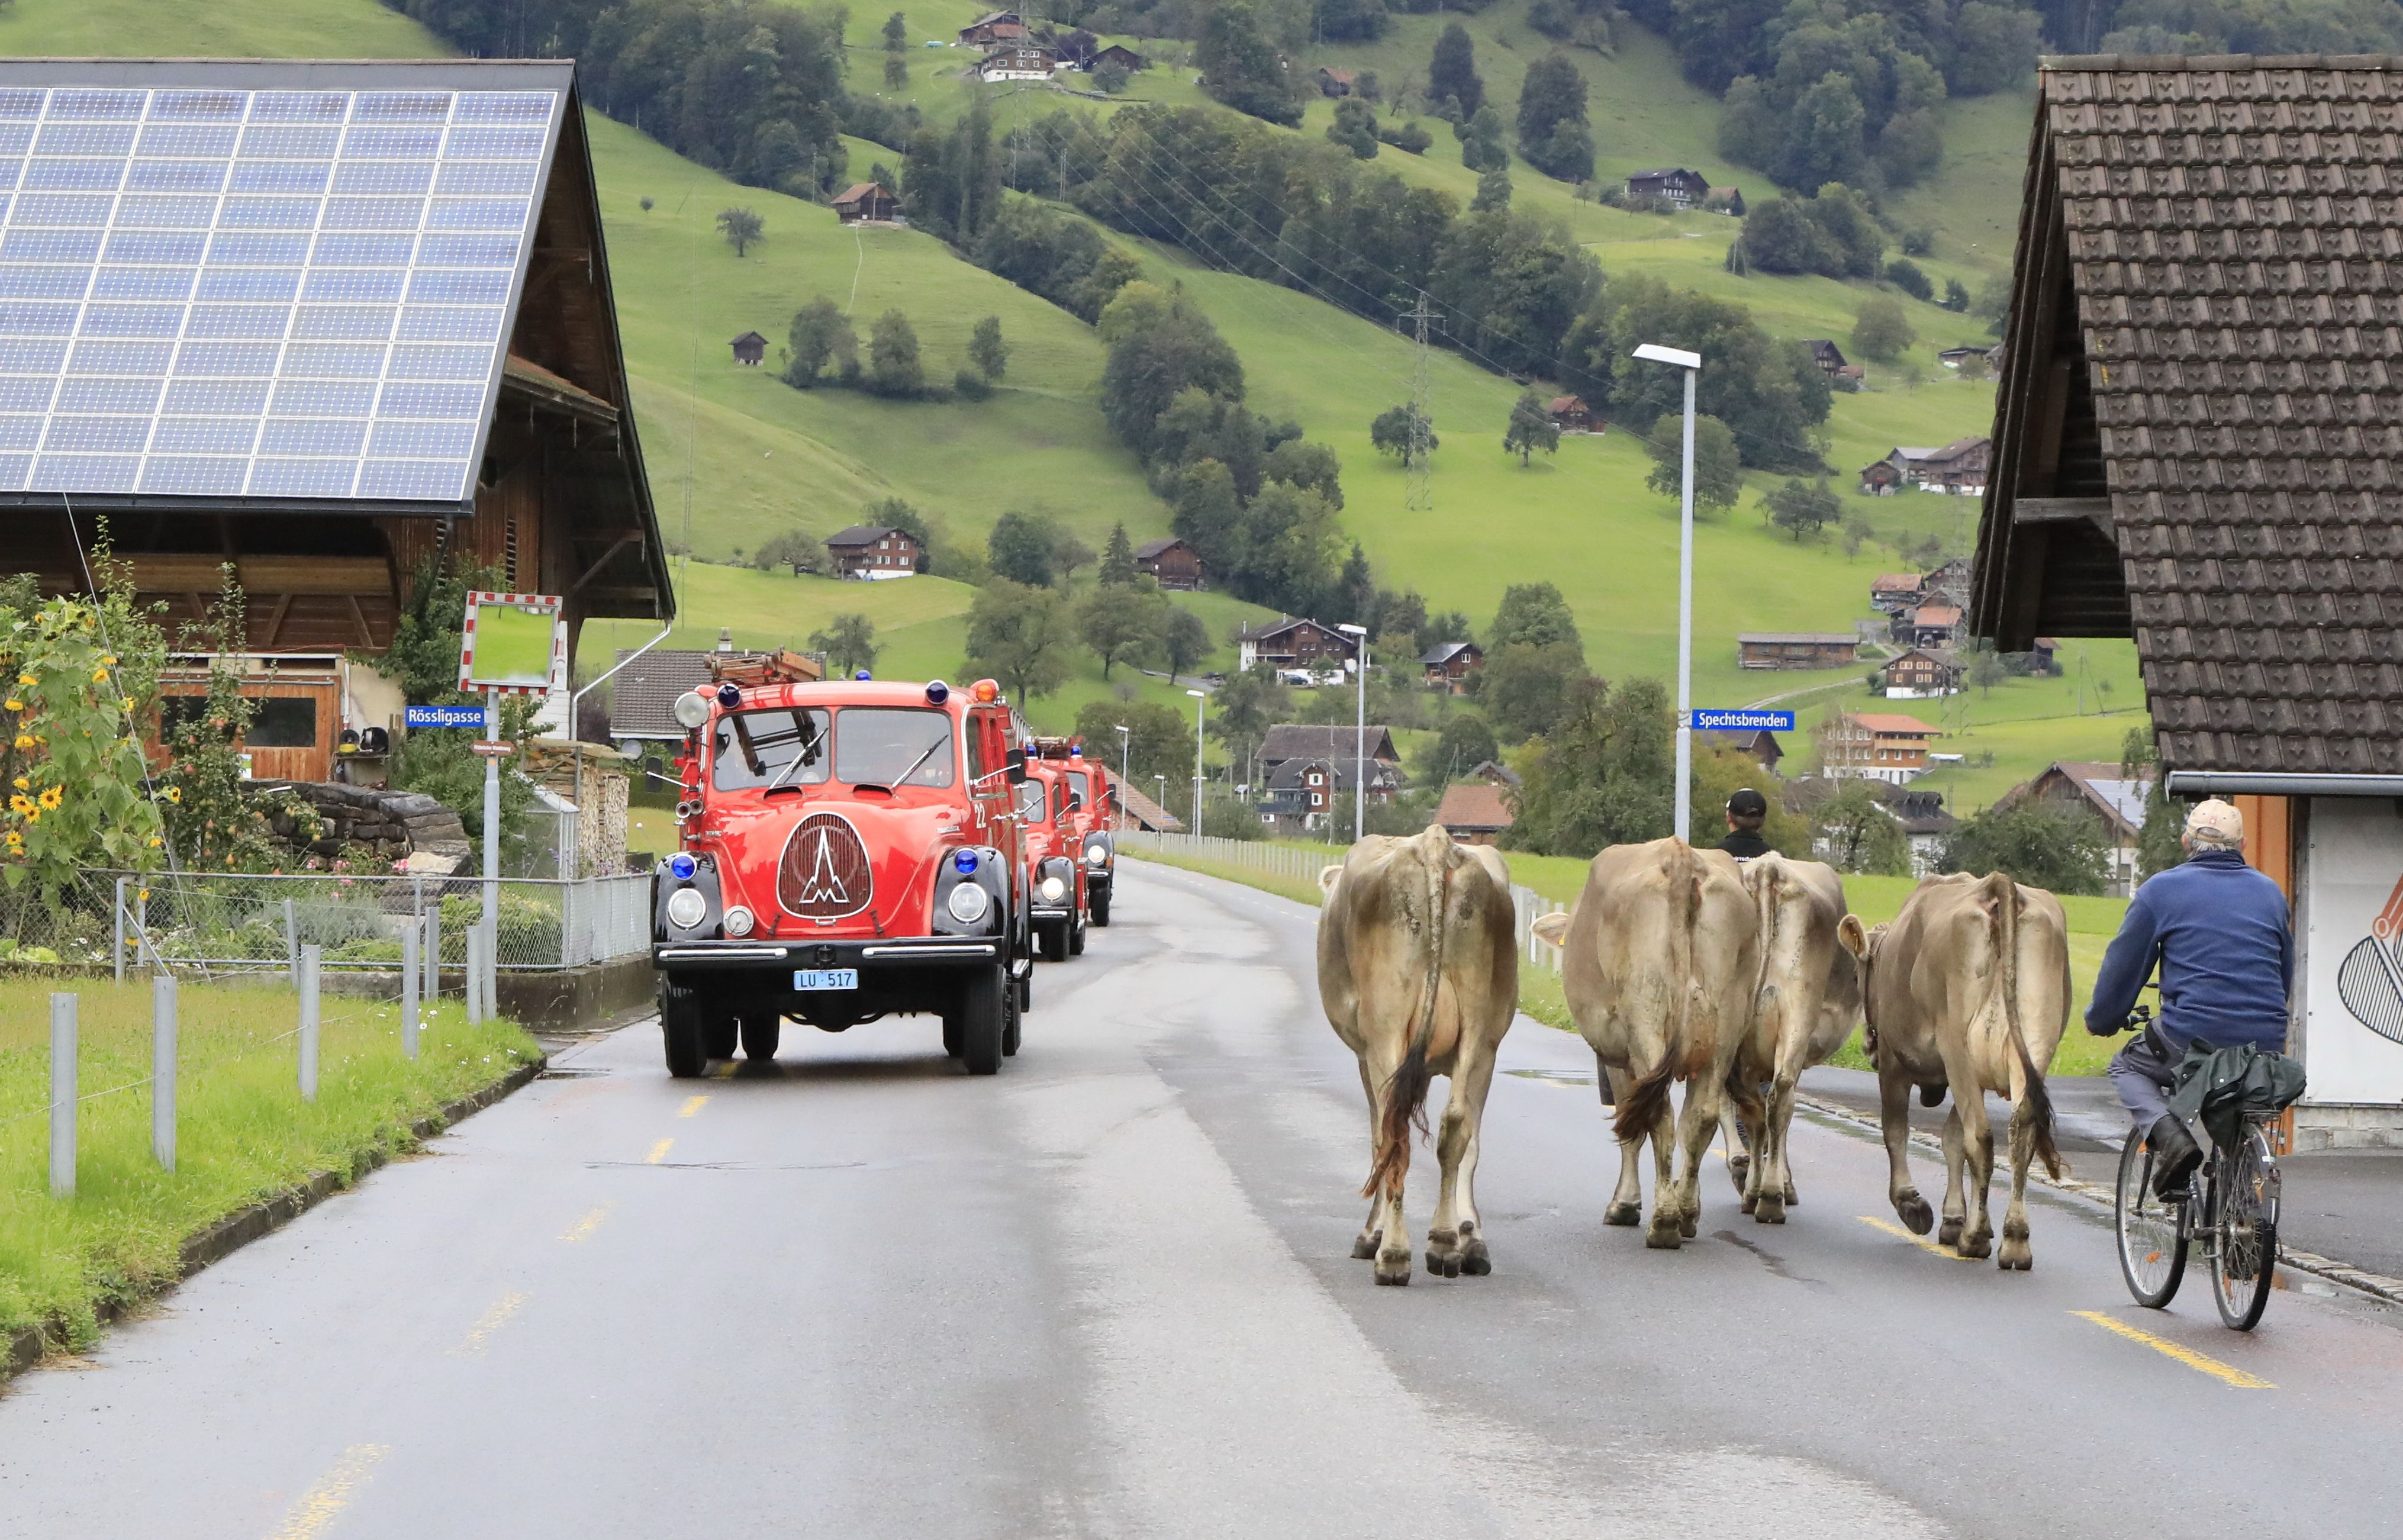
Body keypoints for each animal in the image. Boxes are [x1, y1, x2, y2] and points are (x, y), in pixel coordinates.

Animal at [1326, 821, 1509, 1278]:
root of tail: (1435, 842)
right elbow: (1469, 1143)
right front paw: (1469, 1239)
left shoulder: (1366, 1054)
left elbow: (1379, 1138)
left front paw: (1371, 1236)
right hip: (1481, 1034)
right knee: (1457, 1126)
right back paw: (1445, 1241)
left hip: (1386, 1031)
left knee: (1394, 1132)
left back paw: (1393, 1254)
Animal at [1528, 840, 1758, 1249]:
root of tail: (1680, 855)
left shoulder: (1617, 1057)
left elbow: (1628, 1124)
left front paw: (1625, 1204)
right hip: (1726, 1025)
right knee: (1699, 1117)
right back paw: (1685, 1214)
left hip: (1644, 1022)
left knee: (1659, 1113)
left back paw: (1664, 1222)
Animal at [1730, 855, 1874, 1225]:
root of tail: (1769, 868)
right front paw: (1785, 1183)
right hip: (1797, 1012)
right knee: (1779, 1098)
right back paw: (1770, 1197)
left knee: (1752, 1109)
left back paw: (1752, 1191)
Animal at [1845, 869, 2076, 1268]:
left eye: (1858, 980)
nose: (1867, 1047)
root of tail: (1995, 885)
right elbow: (1951, 1140)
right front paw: (1954, 1218)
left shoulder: (1894, 1063)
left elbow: (1896, 1131)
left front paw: (1913, 1204)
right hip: (2034, 1041)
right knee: (2021, 1134)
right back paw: (2015, 1240)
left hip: (1958, 1047)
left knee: (1980, 1137)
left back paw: (1977, 1237)